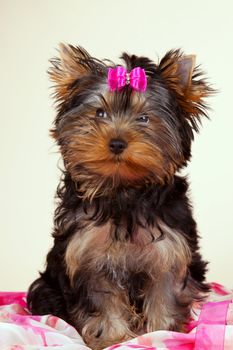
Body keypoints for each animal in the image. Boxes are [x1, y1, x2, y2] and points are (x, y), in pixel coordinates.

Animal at [27, 44, 213, 350]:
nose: (116, 142)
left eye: (144, 118)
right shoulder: (88, 256)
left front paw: (161, 333)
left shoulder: (168, 252)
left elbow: (164, 295)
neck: (123, 190)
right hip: (46, 288)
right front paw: (111, 337)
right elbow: (102, 302)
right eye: (100, 113)